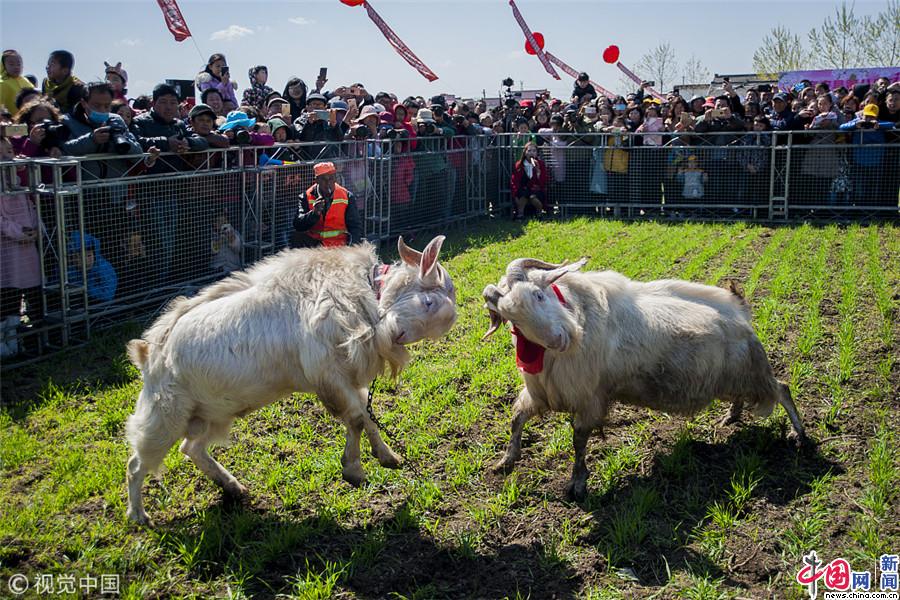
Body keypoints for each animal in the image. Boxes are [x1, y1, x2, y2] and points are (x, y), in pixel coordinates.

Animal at [125, 236, 458, 524]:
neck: (361, 290)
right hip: (165, 413)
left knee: (190, 448)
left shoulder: (348, 377)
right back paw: (139, 516)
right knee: (136, 463)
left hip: (212, 413)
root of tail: (149, 353)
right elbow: (356, 418)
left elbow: (366, 416)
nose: (396, 335)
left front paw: (386, 457)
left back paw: (232, 486)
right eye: (428, 302)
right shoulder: (327, 374)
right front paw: (355, 470)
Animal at [486, 260, 808, 500]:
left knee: (782, 389)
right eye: (512, 320)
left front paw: (577, 484)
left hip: (752, 372)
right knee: (749, 395)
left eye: (539, 295)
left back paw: (800, 436)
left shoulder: (589, 398)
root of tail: (740, 311)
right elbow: (517, 418)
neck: (579, 317)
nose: (558, 340)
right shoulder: (542, 393)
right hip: (734, 378)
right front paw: (506, 461)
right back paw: (732, 416)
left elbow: (578, 441)